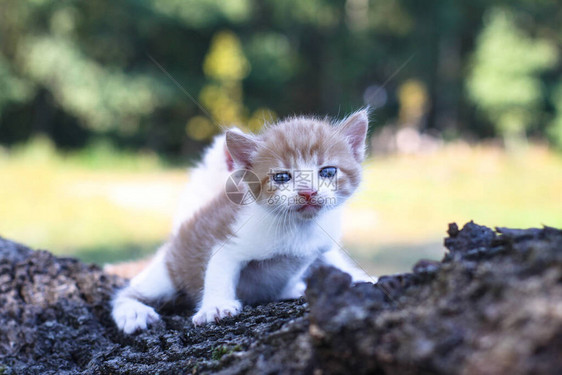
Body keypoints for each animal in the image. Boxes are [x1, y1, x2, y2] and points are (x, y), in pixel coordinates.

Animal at [110, 110, 372, 334]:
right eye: (281, 177)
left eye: (328, 172)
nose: (308, 192)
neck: (299, 227)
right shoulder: (231, 241)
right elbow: (219, 271)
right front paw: (215, 306)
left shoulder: (322, 244)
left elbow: (335, 260)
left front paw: (362, 277)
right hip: (168, 271)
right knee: (128, 292)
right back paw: (133, 312)